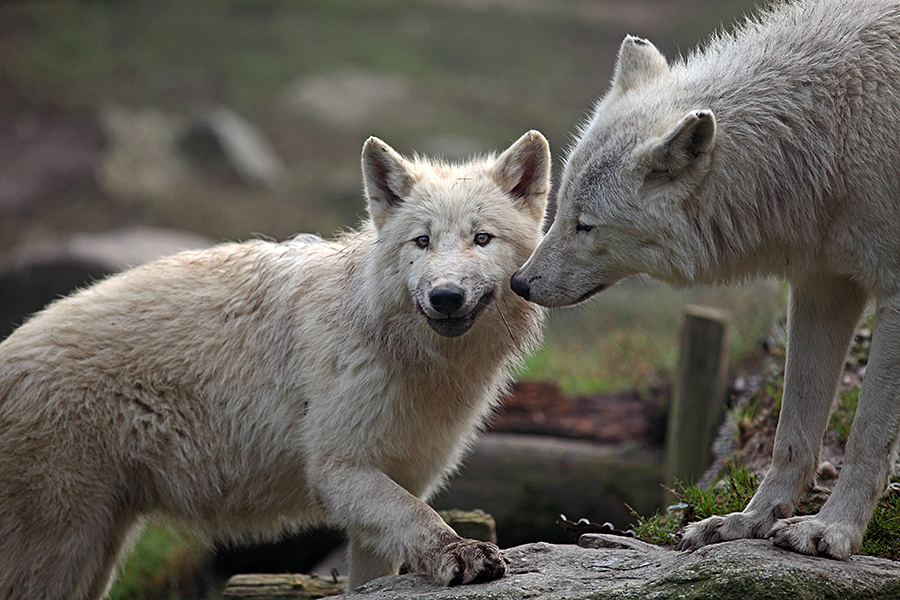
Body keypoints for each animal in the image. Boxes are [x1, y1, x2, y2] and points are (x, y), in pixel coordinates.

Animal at [0, 129, 548, 596]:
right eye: (422, 241)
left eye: (482, 238)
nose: (446, 296)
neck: (420, 363)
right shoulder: (337, 470)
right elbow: (418, 518)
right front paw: (461, 552)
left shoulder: (401, 479)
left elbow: (383, 559)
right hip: (62, 547)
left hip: (97, 550)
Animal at [512, 0, 900, 564]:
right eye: (559, 209)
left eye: (585, 224)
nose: (518, 283)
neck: (834, 128)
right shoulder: (822, 285)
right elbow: (791, 432)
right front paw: (751, 521)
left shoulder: (893, 290)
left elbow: (867, 434)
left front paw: (835, 530)